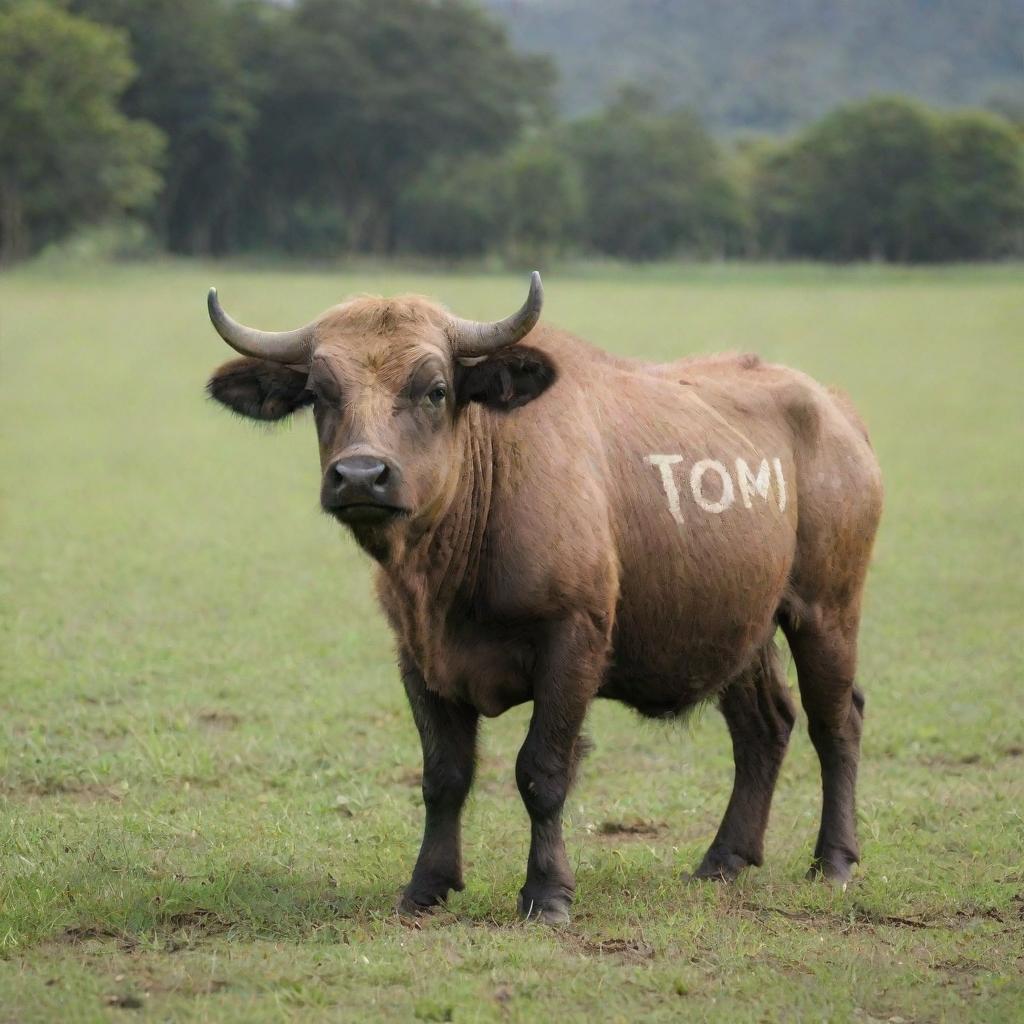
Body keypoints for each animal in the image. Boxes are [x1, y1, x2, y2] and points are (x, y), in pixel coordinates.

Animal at [205, 274, 880, 929]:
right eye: (320, 393)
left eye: (435, 390)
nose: (362, 476)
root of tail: (837, 411)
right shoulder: (417, 655)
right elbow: (443, 775)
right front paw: (426, 887)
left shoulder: (573, 641)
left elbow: (542, 770)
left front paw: (548, 894)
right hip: (741, 627)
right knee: (764, 727)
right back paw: (724, 859)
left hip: (827, 610)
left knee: (835, 721)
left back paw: (834, 861)